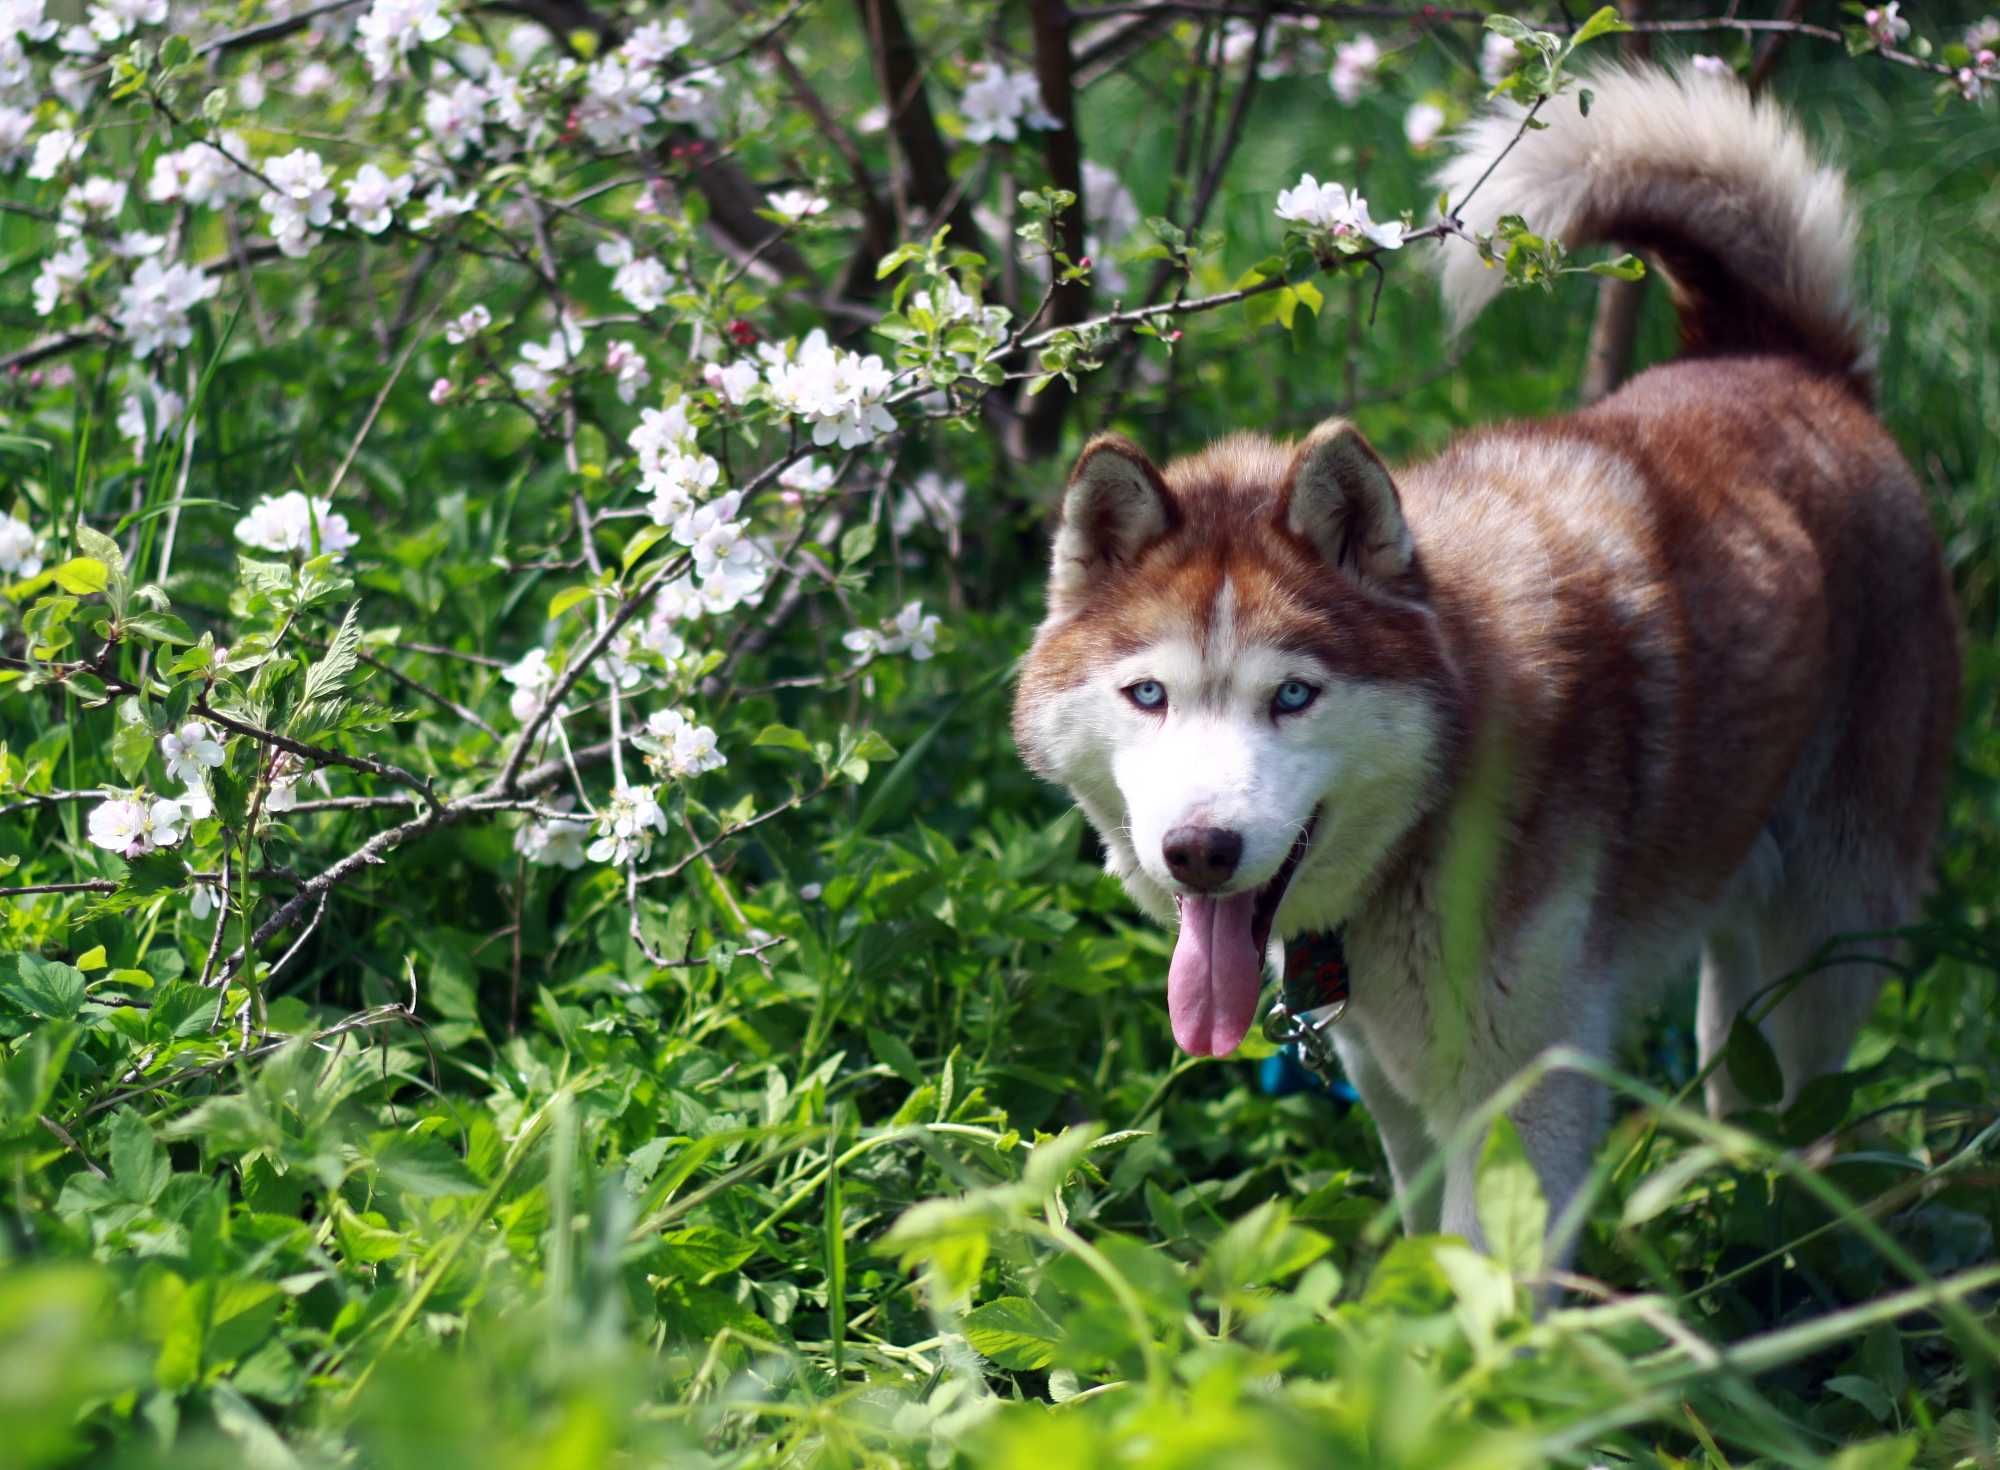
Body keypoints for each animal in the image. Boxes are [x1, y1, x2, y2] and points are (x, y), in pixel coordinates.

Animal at [1016, 69, 1952, 1256]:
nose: (1200, 851)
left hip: (1831, 932)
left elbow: (1479, 1274)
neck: (1436, 804)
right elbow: (1423, 1253)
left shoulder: (1526, 1089)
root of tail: (1783, 356)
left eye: (1293, 696)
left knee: (1815, 1094)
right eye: (1148, 695)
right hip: (1737, 935)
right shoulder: (1393, 1080)